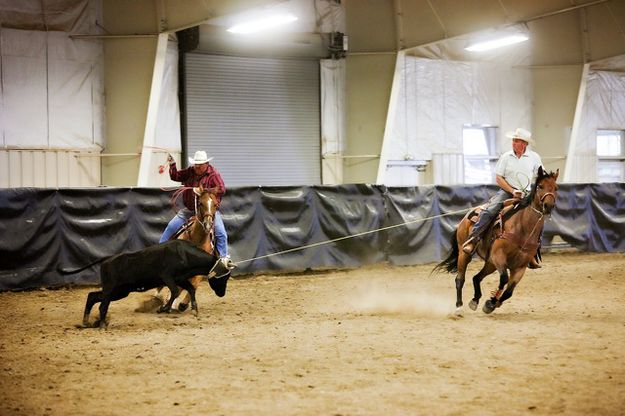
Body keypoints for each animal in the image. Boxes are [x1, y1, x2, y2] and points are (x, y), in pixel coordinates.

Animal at [432, 167, 560, 316]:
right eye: (540, 186)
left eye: (556, 188)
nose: (548, 206)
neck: (522, 228)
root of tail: (466, 216)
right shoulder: (499, 256)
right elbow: (504, 278)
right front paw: (491, 302)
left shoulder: (520, 267)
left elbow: (509, 291)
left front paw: (493, 303)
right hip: (465, 254)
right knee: (460, 279)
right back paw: (459, 307)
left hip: (490, 263)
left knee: (476, 277)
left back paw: (475, 301)